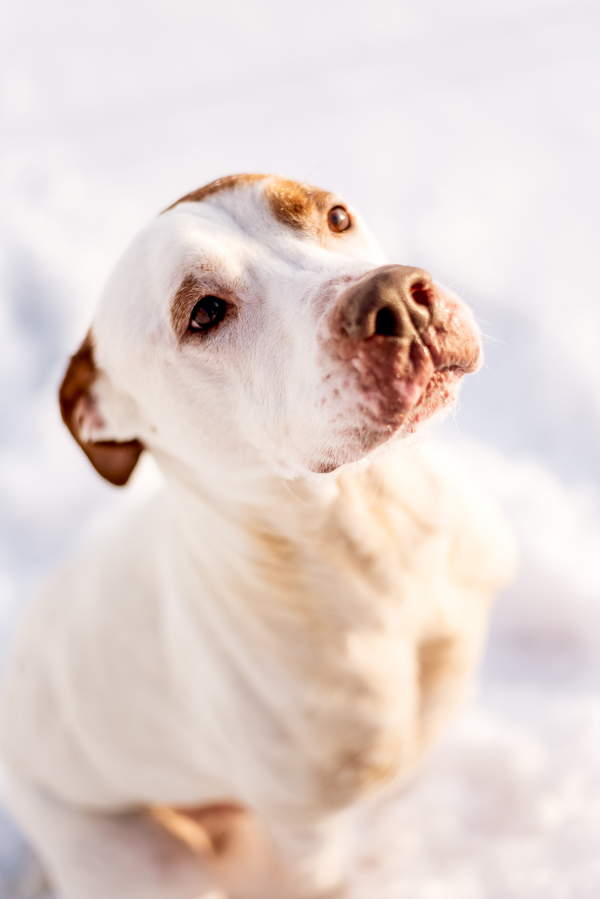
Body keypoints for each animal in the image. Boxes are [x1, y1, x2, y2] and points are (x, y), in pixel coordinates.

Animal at [0, 176, 516, 899]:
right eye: (205, 313)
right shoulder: (307, 839)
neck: (376, 537)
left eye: (336, 216)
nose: (395, 297)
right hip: (136, 855)